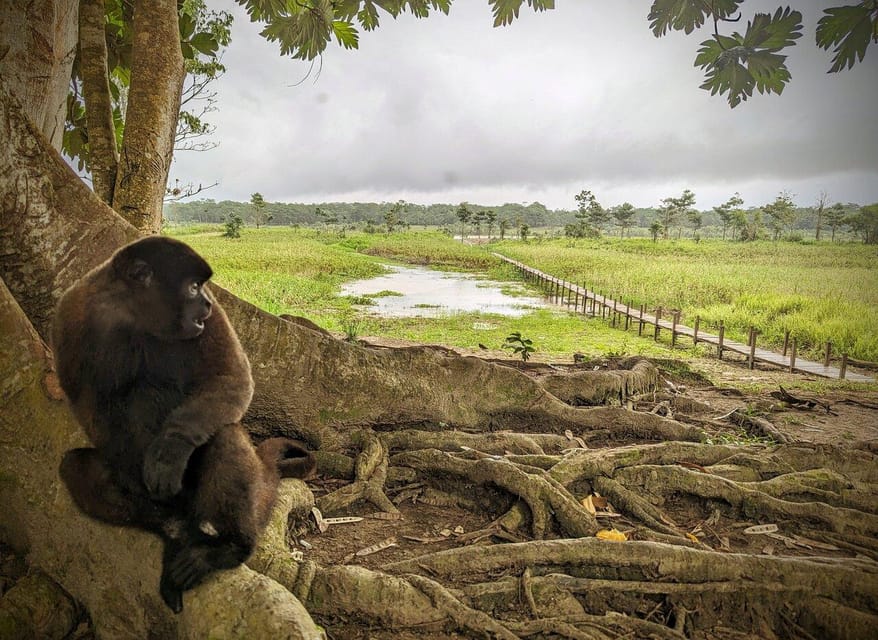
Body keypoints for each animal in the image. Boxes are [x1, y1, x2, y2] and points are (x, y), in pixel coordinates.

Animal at [52, 236, 316, 613]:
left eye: (203, 288)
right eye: (193, 287)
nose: (205, 301)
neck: (134, 315)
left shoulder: (212, 318)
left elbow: (231, 376)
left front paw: (170, 449)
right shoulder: (72, 312)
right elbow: (87, 402)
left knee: (224, 436)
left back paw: (228, 548)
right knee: (76, 466)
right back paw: (176, 530)